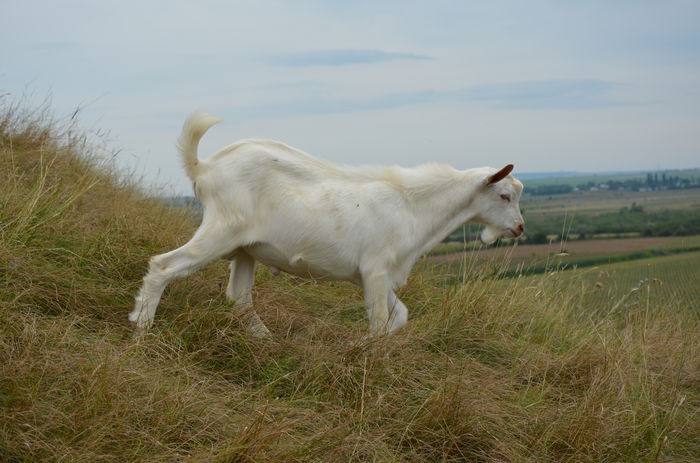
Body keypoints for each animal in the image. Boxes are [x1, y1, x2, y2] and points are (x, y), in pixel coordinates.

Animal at [131, 112, 524, 338]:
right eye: (505, 195)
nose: (519, 229)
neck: (413, 205)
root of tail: (205, 167)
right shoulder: (375, 269)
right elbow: (380, 319)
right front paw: (369, 353)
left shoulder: (376, 274)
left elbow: (399, 317)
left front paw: (366, 345)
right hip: (222, 229)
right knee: (164, 266)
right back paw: (141, 331)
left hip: (245, 249)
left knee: (240, 297)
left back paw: (265, 340)